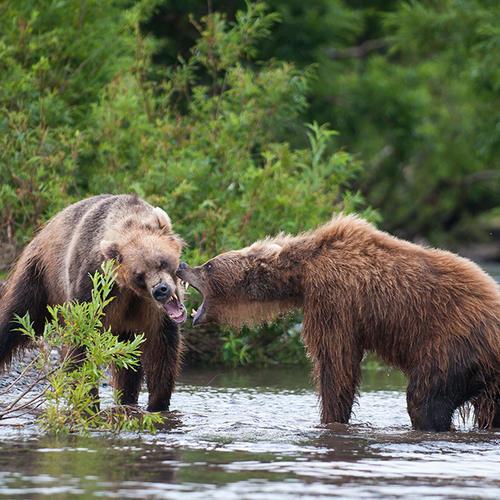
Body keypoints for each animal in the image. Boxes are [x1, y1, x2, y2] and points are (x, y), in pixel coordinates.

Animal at [0, 193, 188, 412]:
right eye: (139, 276)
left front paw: (158, 404)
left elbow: (162, 348)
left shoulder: (150, 311)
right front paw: (88, 401)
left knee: (127, 359)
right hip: (39, 277)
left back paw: (127, 400)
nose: (160, 290)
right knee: (15, 317)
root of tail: (46, 227)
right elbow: (80, 344)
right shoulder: (93, 286)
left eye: (162, 261)